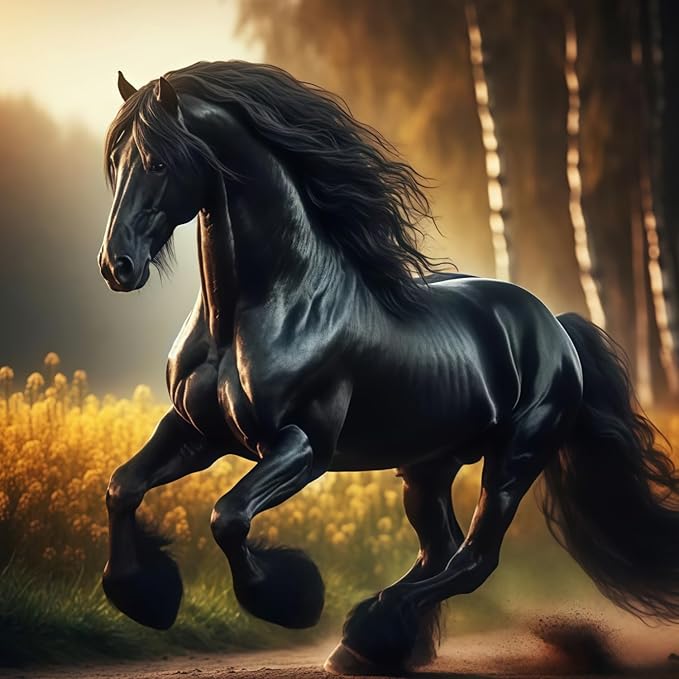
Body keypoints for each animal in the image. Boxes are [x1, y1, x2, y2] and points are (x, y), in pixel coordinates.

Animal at [98, 60, 679, 675]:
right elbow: (122, 487)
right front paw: (143, 596)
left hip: (515, 458)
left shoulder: (303, 446)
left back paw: (366, 634)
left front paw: (291, 599)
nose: (117, 265)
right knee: (439, 551)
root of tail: (557, 326)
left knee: (473, 559)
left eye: (158, 161)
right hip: (427, 466)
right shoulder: (197, 432)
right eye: (115, 163)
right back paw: (374, 643)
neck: (258, 310)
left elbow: (228, 516)